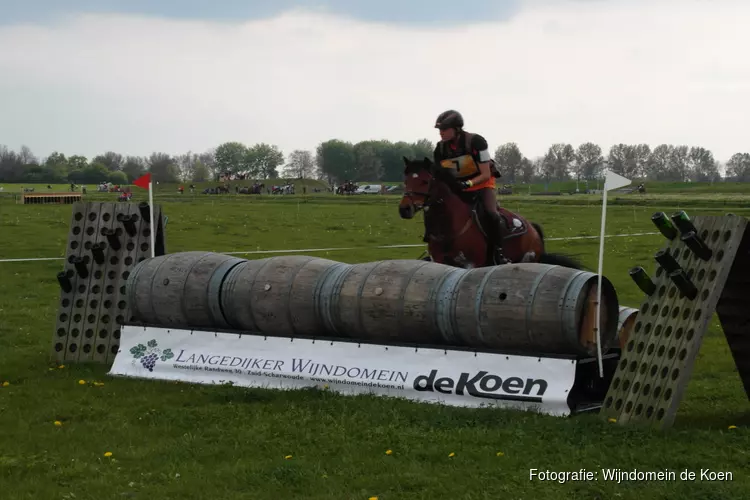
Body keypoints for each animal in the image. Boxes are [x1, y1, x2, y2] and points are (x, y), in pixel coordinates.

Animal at [400, 158, 588, 272]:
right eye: (405, 180)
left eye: (425, 181)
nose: (404, 209)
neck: (449, 228)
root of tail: (533, 228)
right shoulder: (439, 262)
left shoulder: (472, 265)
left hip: (528, 260)